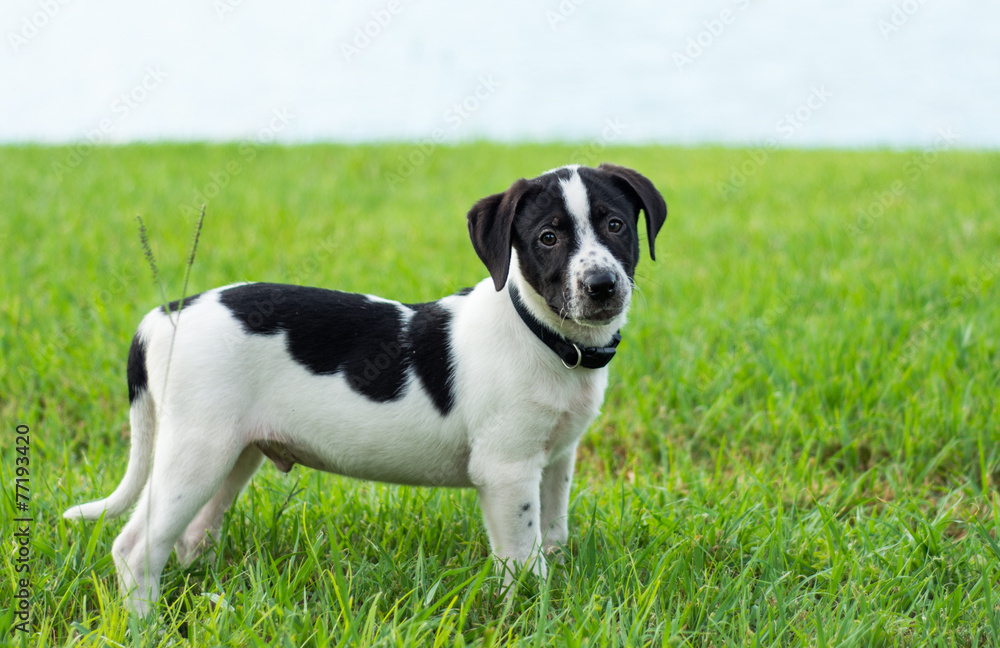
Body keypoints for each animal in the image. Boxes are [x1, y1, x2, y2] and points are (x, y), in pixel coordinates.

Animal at [66, 161, 668, 612]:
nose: (601, 285)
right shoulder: (506, 471)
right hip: (196, 452)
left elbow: (554, 534)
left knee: (191, 538)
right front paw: (532, 612)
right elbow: (523, 557)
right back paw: (146, 627)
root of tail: (161, 317)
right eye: (548, 238)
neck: (543, 335)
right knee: (136, 549)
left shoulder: (556, 460)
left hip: (234, 454)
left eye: (616, 225)